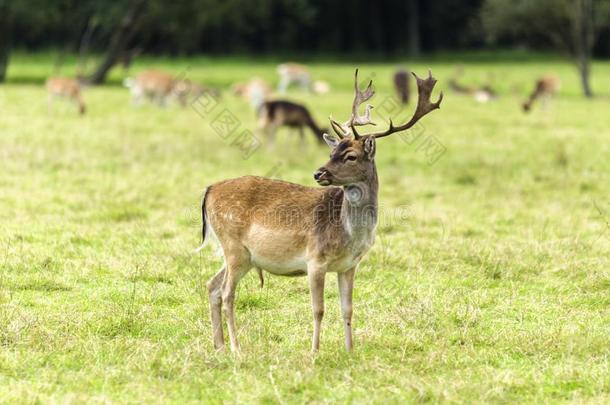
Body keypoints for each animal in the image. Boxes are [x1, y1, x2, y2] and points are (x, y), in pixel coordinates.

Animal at [200, 68, 442, 352]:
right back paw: (236, 348)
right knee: (227, 292)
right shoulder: (314, 259)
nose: (318, 173)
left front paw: (349, 350)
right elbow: (318, 309)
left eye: (350, 156)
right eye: (332, 151)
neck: (349, 233)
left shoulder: (349, 265)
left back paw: (219, 346)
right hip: (233, 247)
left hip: (241, 255)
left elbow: (347, 308)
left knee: (212, 285)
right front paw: (315, 351)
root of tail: (209, 190)